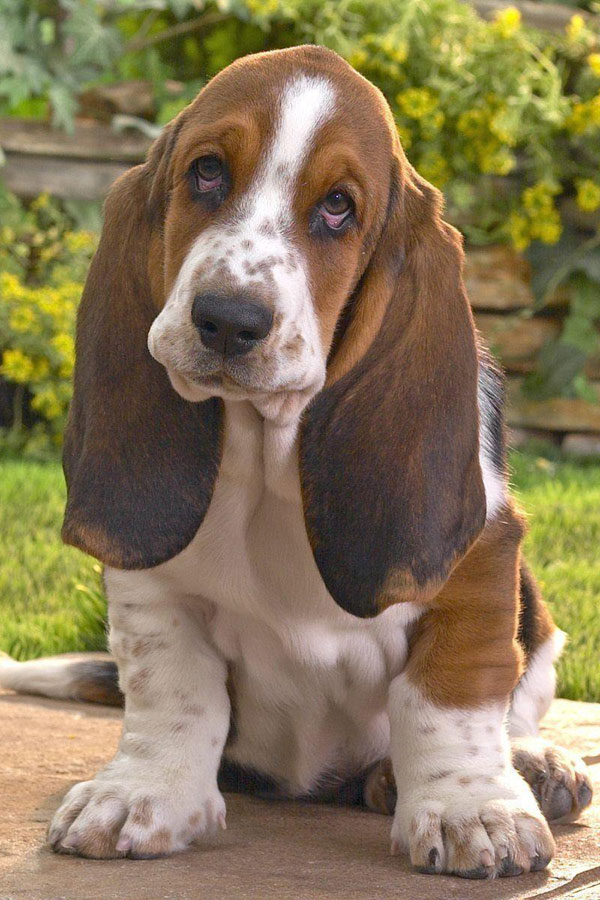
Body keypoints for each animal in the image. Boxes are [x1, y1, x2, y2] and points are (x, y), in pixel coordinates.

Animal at [0, 45, 592, 878]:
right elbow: (172, 689)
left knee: (517, 694)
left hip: (537, 613)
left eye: (339, 206)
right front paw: (143, 796)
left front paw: (474, 811)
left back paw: (528, 764)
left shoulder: (480, 566)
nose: (228, 320)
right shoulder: (151, 585)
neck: (266, 448)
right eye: (207, 172)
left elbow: (452, 691)